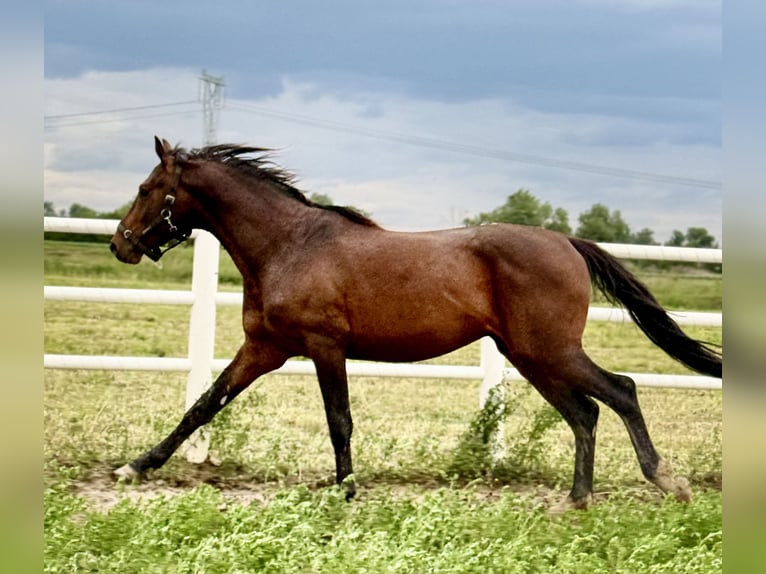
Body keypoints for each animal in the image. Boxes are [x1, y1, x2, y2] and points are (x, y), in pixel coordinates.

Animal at [110, 136, 721, 510]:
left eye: (145, 189)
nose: (120, 245)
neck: (289, 246)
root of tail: (567, 242)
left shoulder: (324, 346)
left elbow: (339, 421)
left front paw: (347, 491)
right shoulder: (264, 348)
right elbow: (202, 406)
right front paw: (136, 467)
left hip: (549, 350)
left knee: (621, 391)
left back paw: (667, 481)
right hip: (530, 356)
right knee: (585, 412)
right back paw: (575, 501)